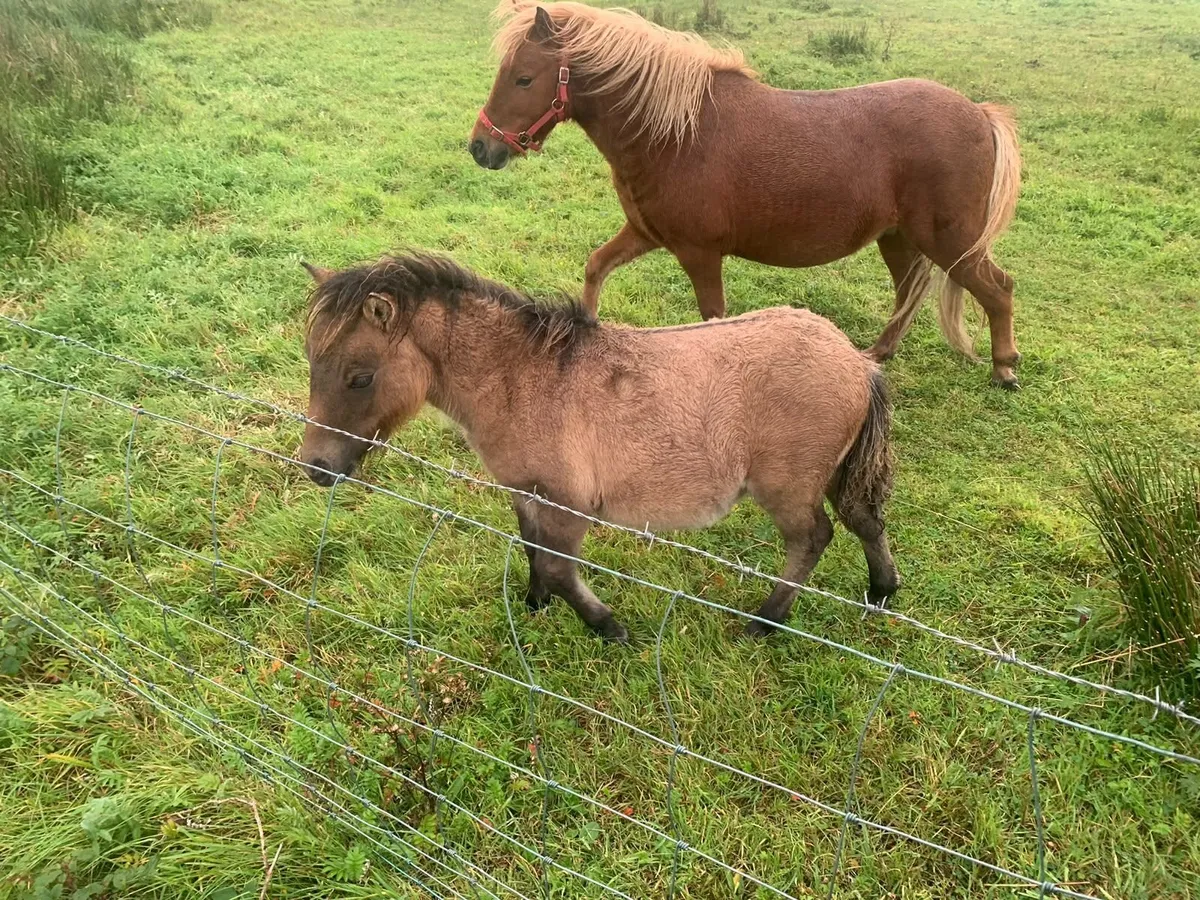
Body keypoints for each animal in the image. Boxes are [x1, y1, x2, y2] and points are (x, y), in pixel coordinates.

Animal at [296, 253, 900, 643]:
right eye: (310, 363)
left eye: (359, 377)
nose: (317, 468)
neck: (522, 378)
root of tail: (858, 362)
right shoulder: (526, 492)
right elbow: (533, 551)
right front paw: (533, 604)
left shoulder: (572, 504)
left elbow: (560, 567)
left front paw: (608, 627)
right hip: (832, 474)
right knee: (864, 519)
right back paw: (881, 592)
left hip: (788, 487)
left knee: (814, 538)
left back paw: (766, 621)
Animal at [469, 2, 1024, 389]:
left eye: (524, 78)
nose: (480, 147)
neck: (676, 133)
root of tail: (979, 114)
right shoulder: (645, 233)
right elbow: (595, 267)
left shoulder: (699, 254)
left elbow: (713, 319)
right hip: (899, 239)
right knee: (909, 294)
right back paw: (877, 356)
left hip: (950, 243)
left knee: (998, 289)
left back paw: (1004, 369)